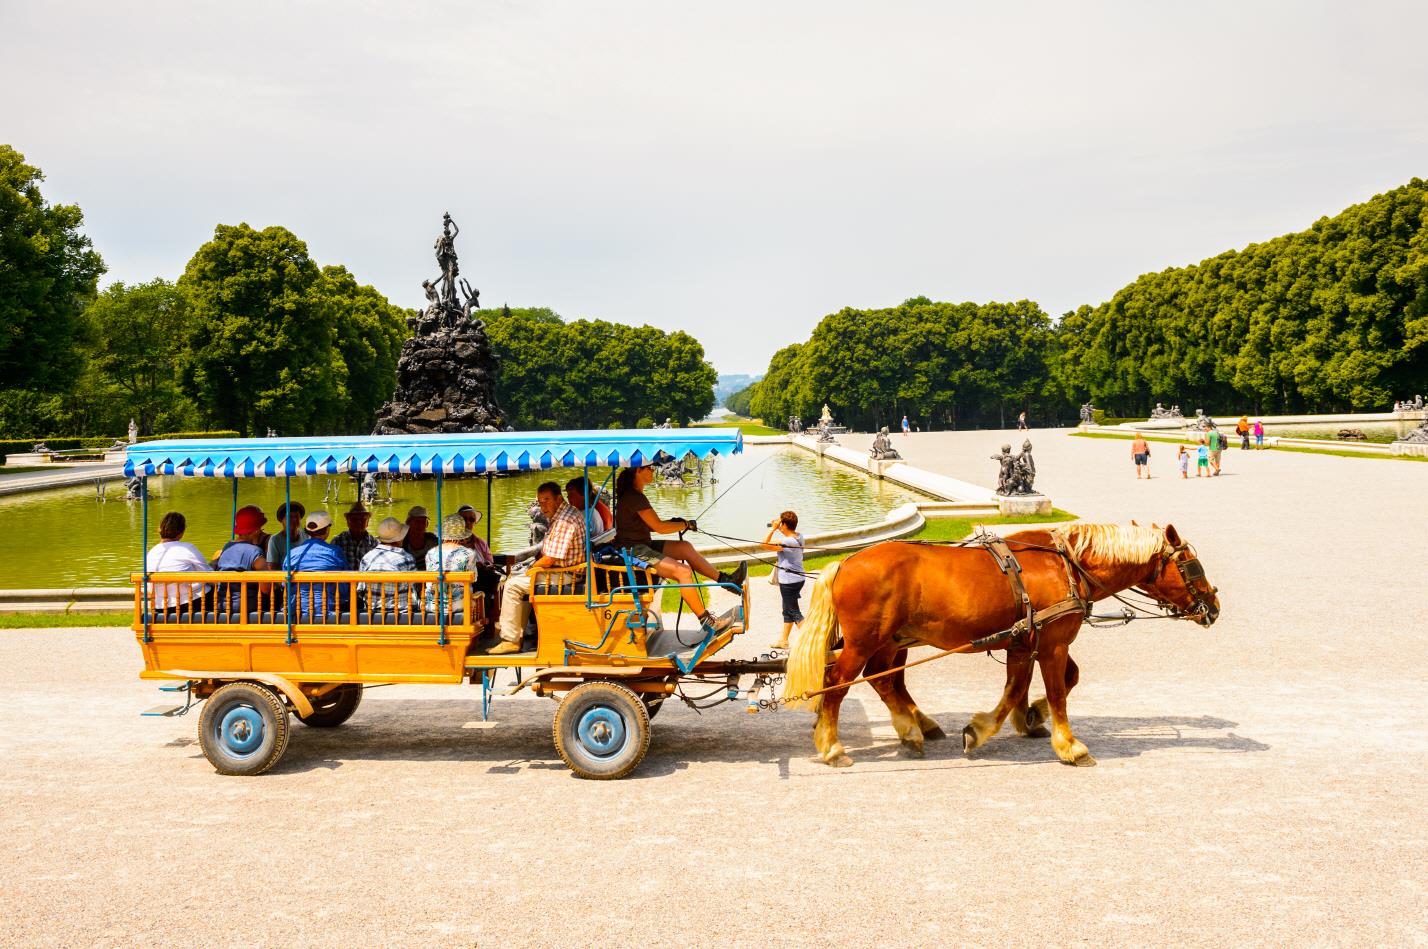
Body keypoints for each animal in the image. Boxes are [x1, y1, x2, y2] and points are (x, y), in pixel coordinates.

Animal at [782, 522, 1216, 764]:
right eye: (1191, 565)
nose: (1213, 606)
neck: (1066, 564)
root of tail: (846, 562)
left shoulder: (1025, 642)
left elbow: (1026, 687)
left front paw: (1013, 721)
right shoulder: (1053, 644)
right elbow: (1057, 690)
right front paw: (1068, 745)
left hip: (889, 641)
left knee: (884, 679)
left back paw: (912, 728)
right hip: (864, 643)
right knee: (838, 684)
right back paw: (834, 746)